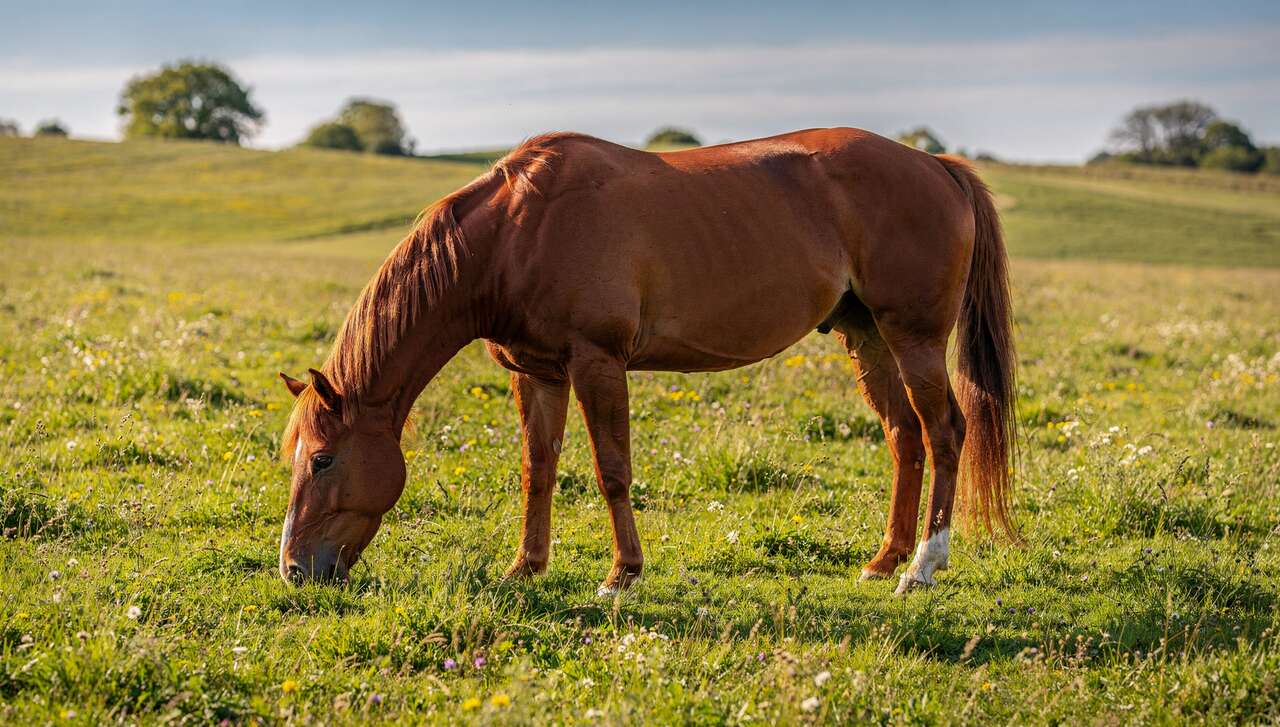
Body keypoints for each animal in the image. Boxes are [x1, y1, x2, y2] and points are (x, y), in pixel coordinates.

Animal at [277, 127, 1017, 596]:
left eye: (323, 459)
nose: (293, 569)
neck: (517, 233)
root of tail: (937, 165)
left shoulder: (597, 363)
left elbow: (612, 472)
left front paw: (621, 575)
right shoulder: (538, 374)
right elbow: (538, 471)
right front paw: (526, 567)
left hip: (912, 337)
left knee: (945, 431)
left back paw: (922, 566)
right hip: (866, 337)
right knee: (903, 435)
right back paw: (883, 559)